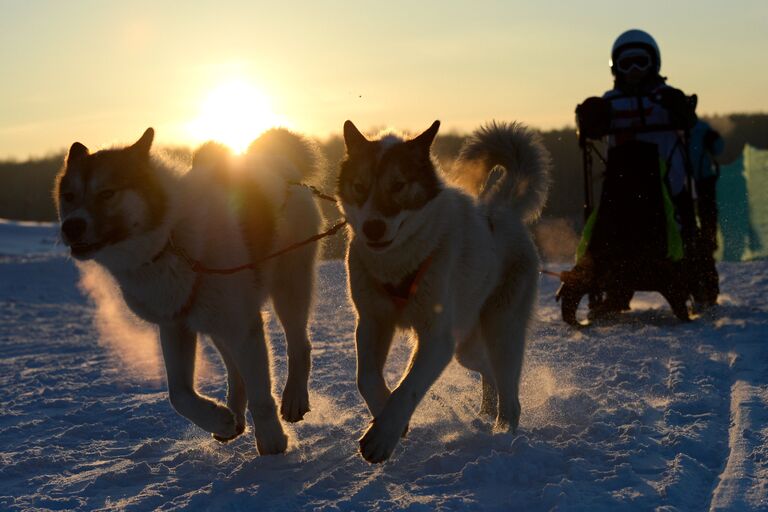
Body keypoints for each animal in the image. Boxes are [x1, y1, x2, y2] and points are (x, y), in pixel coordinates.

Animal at [55, 126, 320, 454]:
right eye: (69, 196)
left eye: (107, 193)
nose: (71, 227)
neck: (170, 240)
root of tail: (278, 161)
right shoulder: (175, 326)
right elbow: (178, 394)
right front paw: (219, 418)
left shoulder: (243, 326)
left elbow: (261, 396)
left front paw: (272, 443)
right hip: (214, 323)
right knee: (236, 373)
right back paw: (232, 417)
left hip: (287, 289)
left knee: (299, 346)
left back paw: (294, 397)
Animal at [340, 121, 548, 464]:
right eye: (359, 186)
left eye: (398, 185)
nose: (372, 227)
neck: (399, 263)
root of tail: (502, 210)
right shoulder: (372, 322)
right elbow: (366, 378)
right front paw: (387, 417)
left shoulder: (436, 339)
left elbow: (408, 388)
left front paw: (382, 436)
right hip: (467, 347)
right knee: (488, 372)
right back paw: (486, 414)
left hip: (501, 331)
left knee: (510, 396)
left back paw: (502, 435)